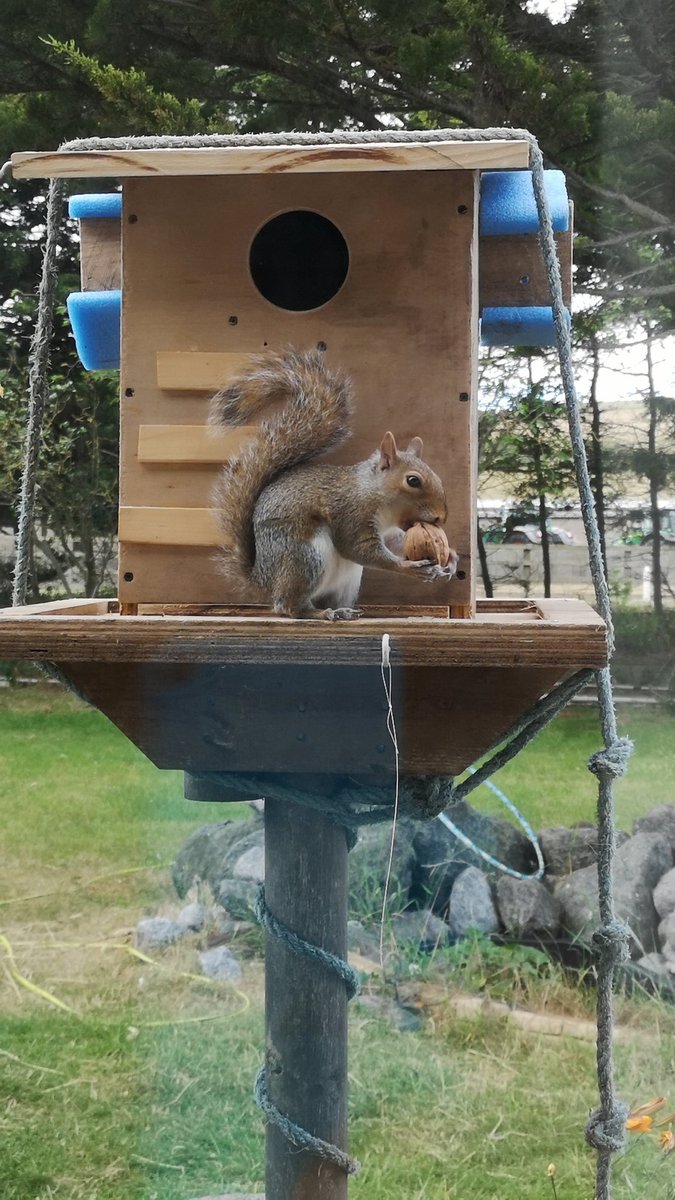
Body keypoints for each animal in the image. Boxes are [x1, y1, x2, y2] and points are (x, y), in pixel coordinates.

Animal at [210, 348, 458, 620]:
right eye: (413, 480)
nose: (441, 518)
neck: (374, 493)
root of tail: (262, 578)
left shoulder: (391, 531)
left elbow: (397, 543)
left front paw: (451, 559)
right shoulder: (351, 514)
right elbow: (358, 548)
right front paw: (408, 567)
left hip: (346, 579)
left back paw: (344, 611)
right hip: (304, 558)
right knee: (288, 607)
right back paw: (320, 613)